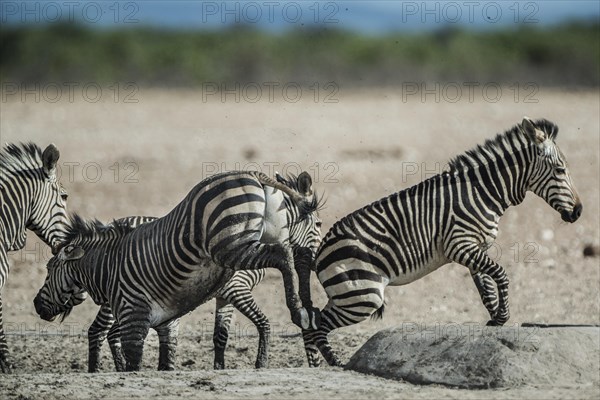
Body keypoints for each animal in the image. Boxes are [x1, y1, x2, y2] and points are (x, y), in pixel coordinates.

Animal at [34, 170, 324, 370]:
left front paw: (220, 367)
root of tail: (252, 173)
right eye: (319, 224)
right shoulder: (237, 289)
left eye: (49, 270)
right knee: (100, 331)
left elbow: (221, 335)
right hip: (227, 250)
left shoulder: (225, 296)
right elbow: (262, 322)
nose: (36, 305)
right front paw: (260, 362)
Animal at [302, 117, 584, 368]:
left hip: (347, 294)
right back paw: (335, 363)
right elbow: (501, 275)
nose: (579, 211)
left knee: (310, 320)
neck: (483, 193)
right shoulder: (459, 245)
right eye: (560, 171)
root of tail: (320, 250)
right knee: (318, 325)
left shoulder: (475, 248)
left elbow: (486, 289)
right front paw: (502, 316)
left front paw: (495, 319)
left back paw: (314, 364)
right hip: (362, 295)